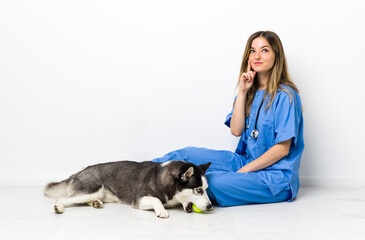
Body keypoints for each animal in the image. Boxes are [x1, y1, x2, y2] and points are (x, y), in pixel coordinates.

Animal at [44, 160, 212, 218]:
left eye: (206, 189)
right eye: (198, 190)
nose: (211, 206)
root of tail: (81, 170)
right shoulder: (139, 200)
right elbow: (156, 200)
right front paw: (161, 210)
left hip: (94, 193)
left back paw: (95, 203)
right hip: (92, 188)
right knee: (64, 198)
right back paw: (59, 206)